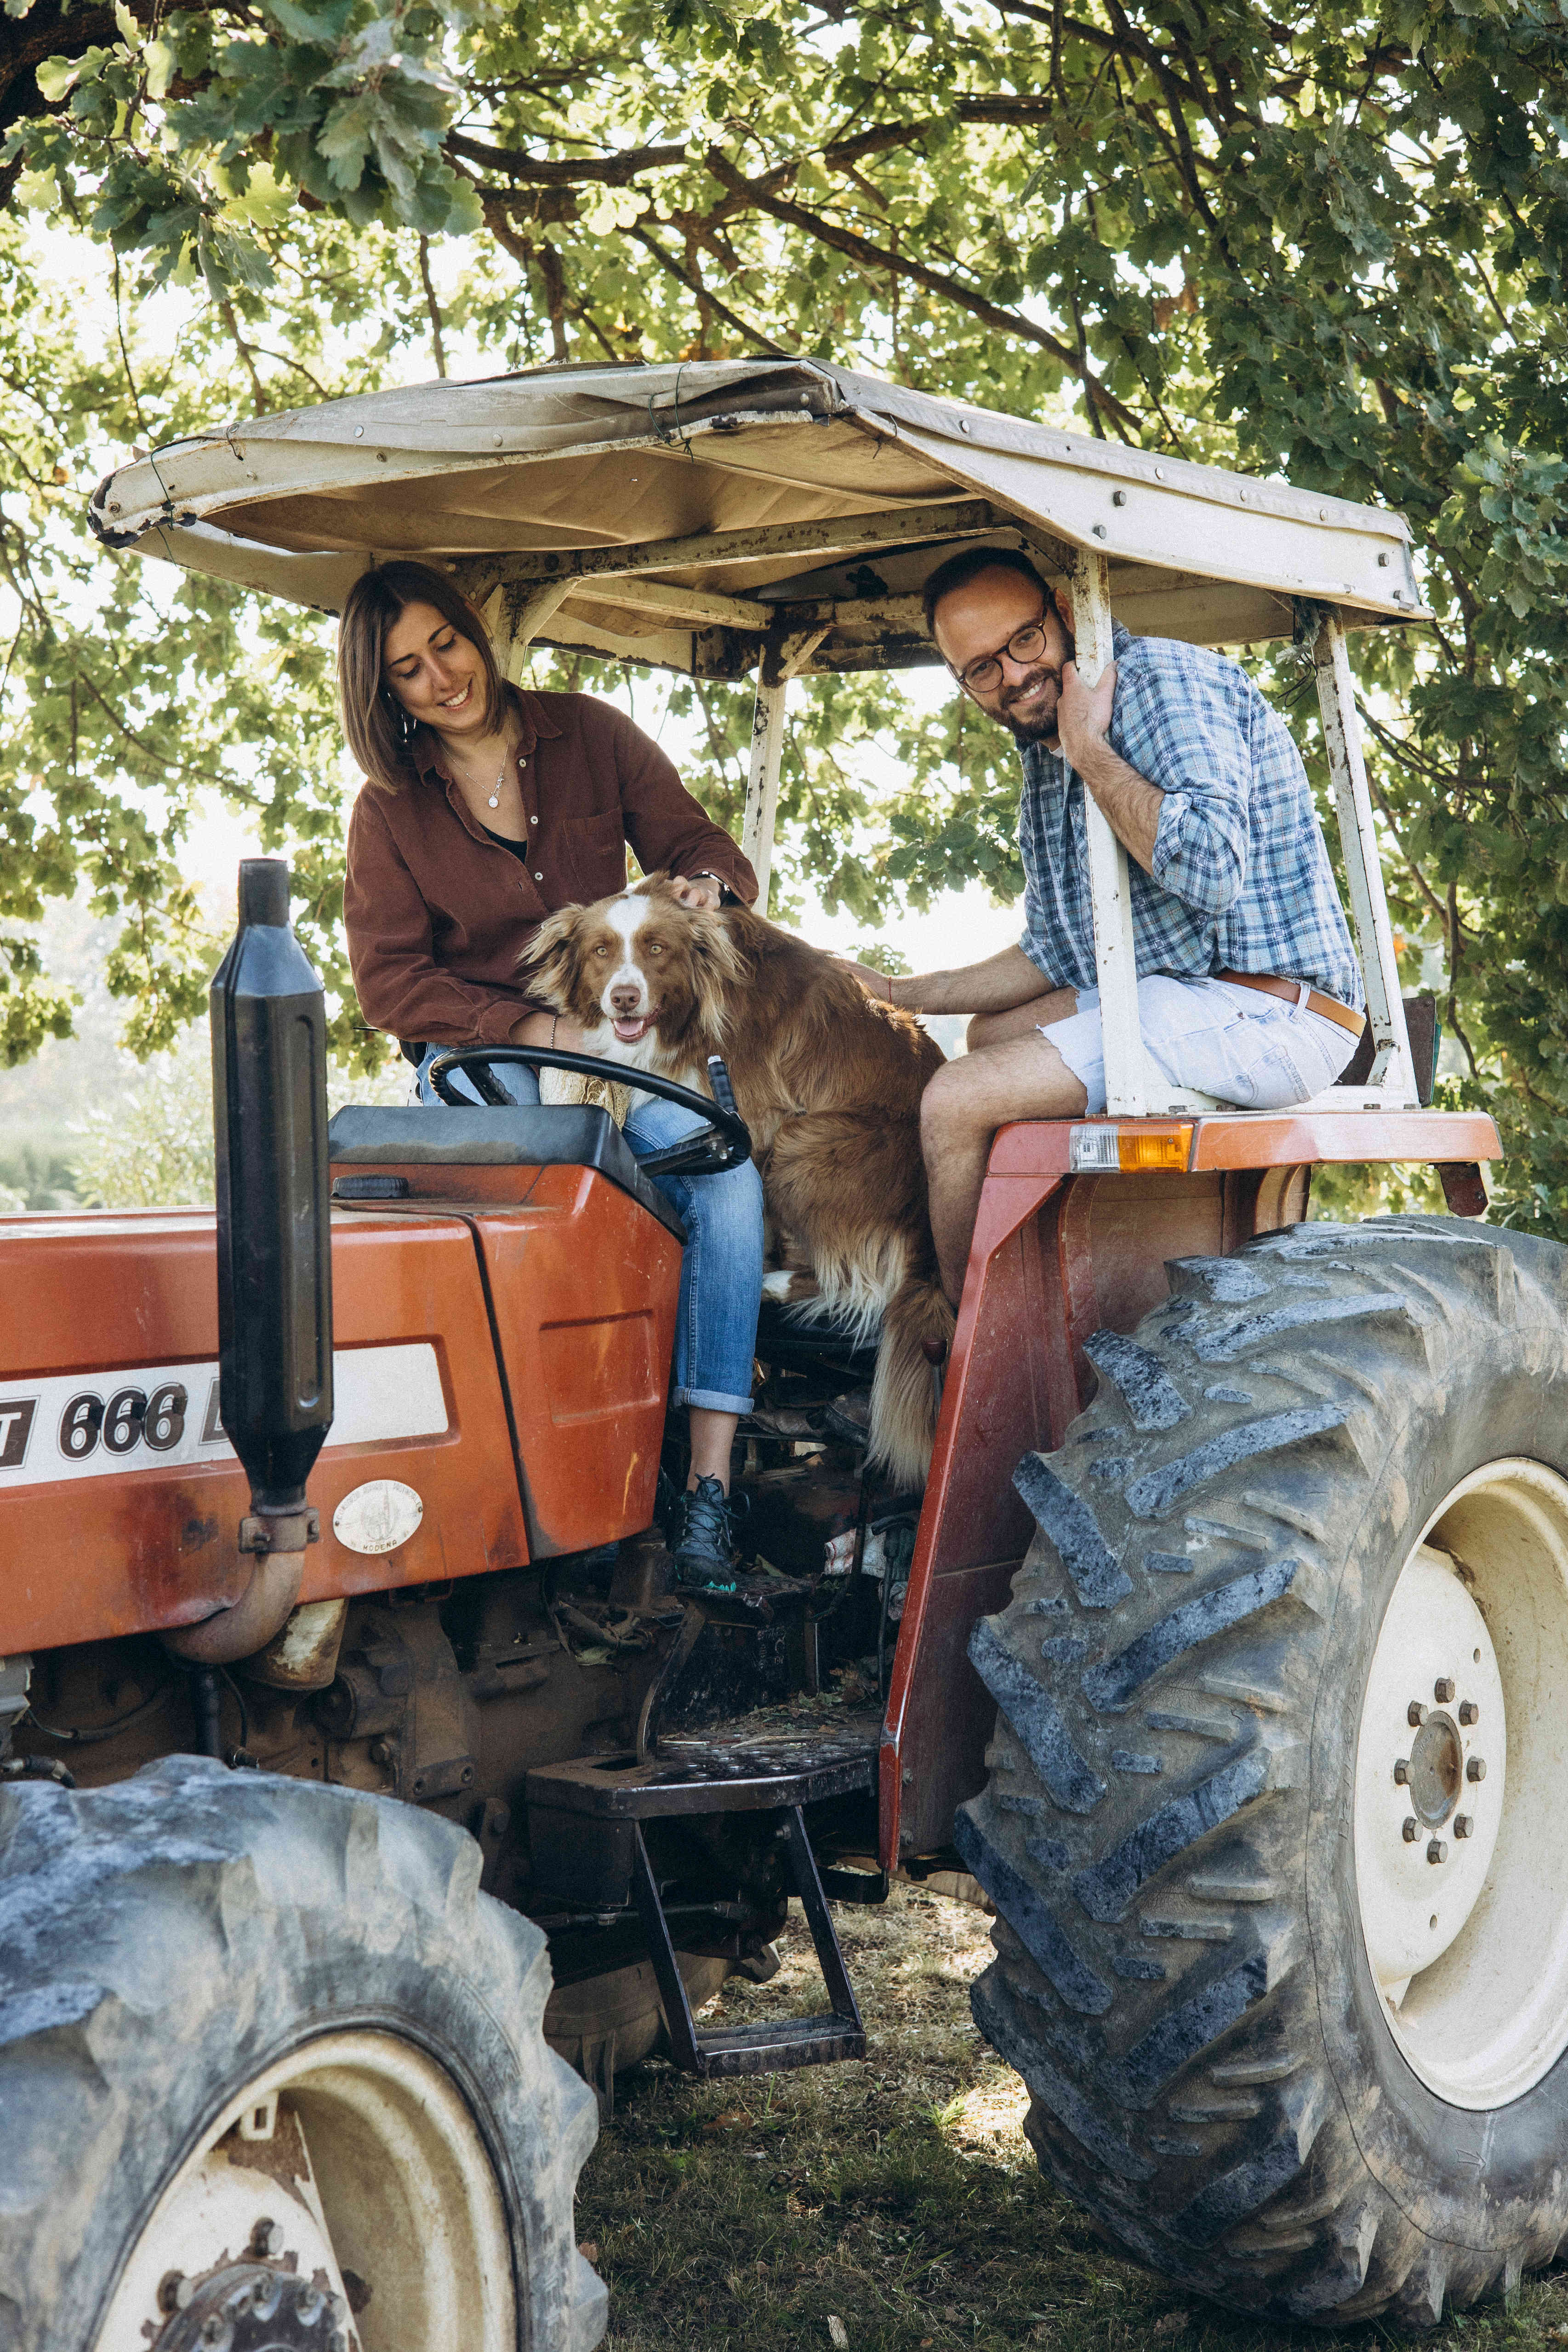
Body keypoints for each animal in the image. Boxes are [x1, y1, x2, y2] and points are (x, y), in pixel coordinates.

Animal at [522, 875, 950, 1477]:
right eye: (601, 950)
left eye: (657, 949)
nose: (624, 997)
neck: (699, 1006)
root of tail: (928, 1242)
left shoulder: (753, 1123)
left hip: (805, 1145)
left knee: (861, 1286)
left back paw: (775, 1286)